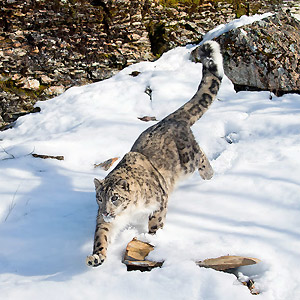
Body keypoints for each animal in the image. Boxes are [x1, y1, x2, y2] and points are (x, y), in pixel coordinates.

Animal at [86, 40, 223, 268]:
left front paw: (153, 238)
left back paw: (209, 175)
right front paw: (96, 257)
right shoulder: (106, 222)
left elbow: (156, 222)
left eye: (114, 197)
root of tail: (169, 118)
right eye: (99, 197)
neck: (129, 212)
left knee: (201, 155)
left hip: (188, 161)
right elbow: (102, 236)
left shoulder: (160, 201)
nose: (105, 211)